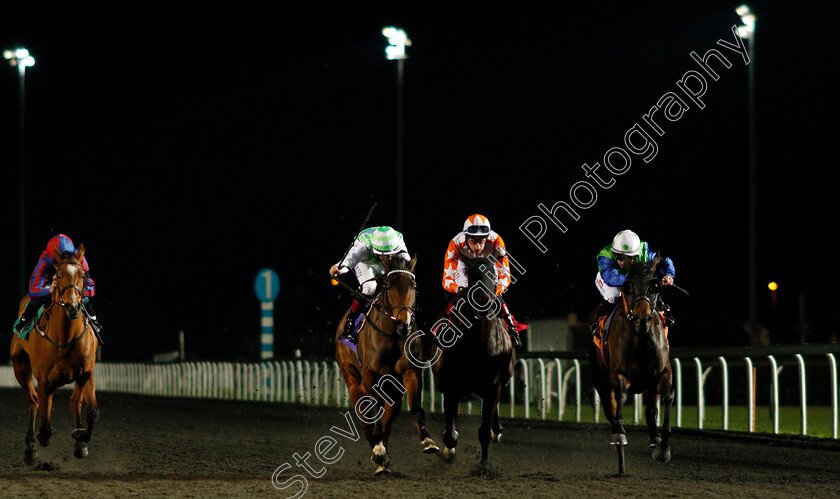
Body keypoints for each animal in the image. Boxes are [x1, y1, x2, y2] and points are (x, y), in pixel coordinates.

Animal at [10, 246, 100, 464]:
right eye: (58, 275)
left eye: (82, 275)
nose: (73, 306)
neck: (66, 338)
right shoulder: (44, 378)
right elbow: (45, 426)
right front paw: (40, 438)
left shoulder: (86, 372)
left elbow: (92, 412)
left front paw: (81, 436)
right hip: (20, 367)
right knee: (33, 401)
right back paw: (30, 447)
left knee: (75, 402)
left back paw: (80, 444)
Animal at [334, 258, 440, 476]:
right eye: (389, 286)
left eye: (413, 286)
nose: (403, 323)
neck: (393, 334)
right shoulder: (370, 376)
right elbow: (371, 413)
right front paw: (378, 450)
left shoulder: (410, 372)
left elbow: (415, 408)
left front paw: (428, 441)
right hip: (351, 376)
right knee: (364, 416)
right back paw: (378, 452)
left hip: (392, 387)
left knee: (387, 418)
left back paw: (383, 457)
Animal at [430, 258, 516, 472]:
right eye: (471, 275)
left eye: (493, 274)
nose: (483, 302)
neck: (477, 343)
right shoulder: (450, 385)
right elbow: (450, 431)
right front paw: (449, 449)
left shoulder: (493, 385)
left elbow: (484, 430)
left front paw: (484, 465)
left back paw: (497, 431)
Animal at [588, 256, 672, 474]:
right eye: (628, 287)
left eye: (655, 285)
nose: (642, 317)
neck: (641, 336)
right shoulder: (618, 375)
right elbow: (620, 401)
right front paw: (620, 435)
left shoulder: (662, 373)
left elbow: (667, 397)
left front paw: (662, 449)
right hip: (600, 380)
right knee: (611, 410)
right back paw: (621, 463)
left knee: (651, 410)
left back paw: (654, 439)